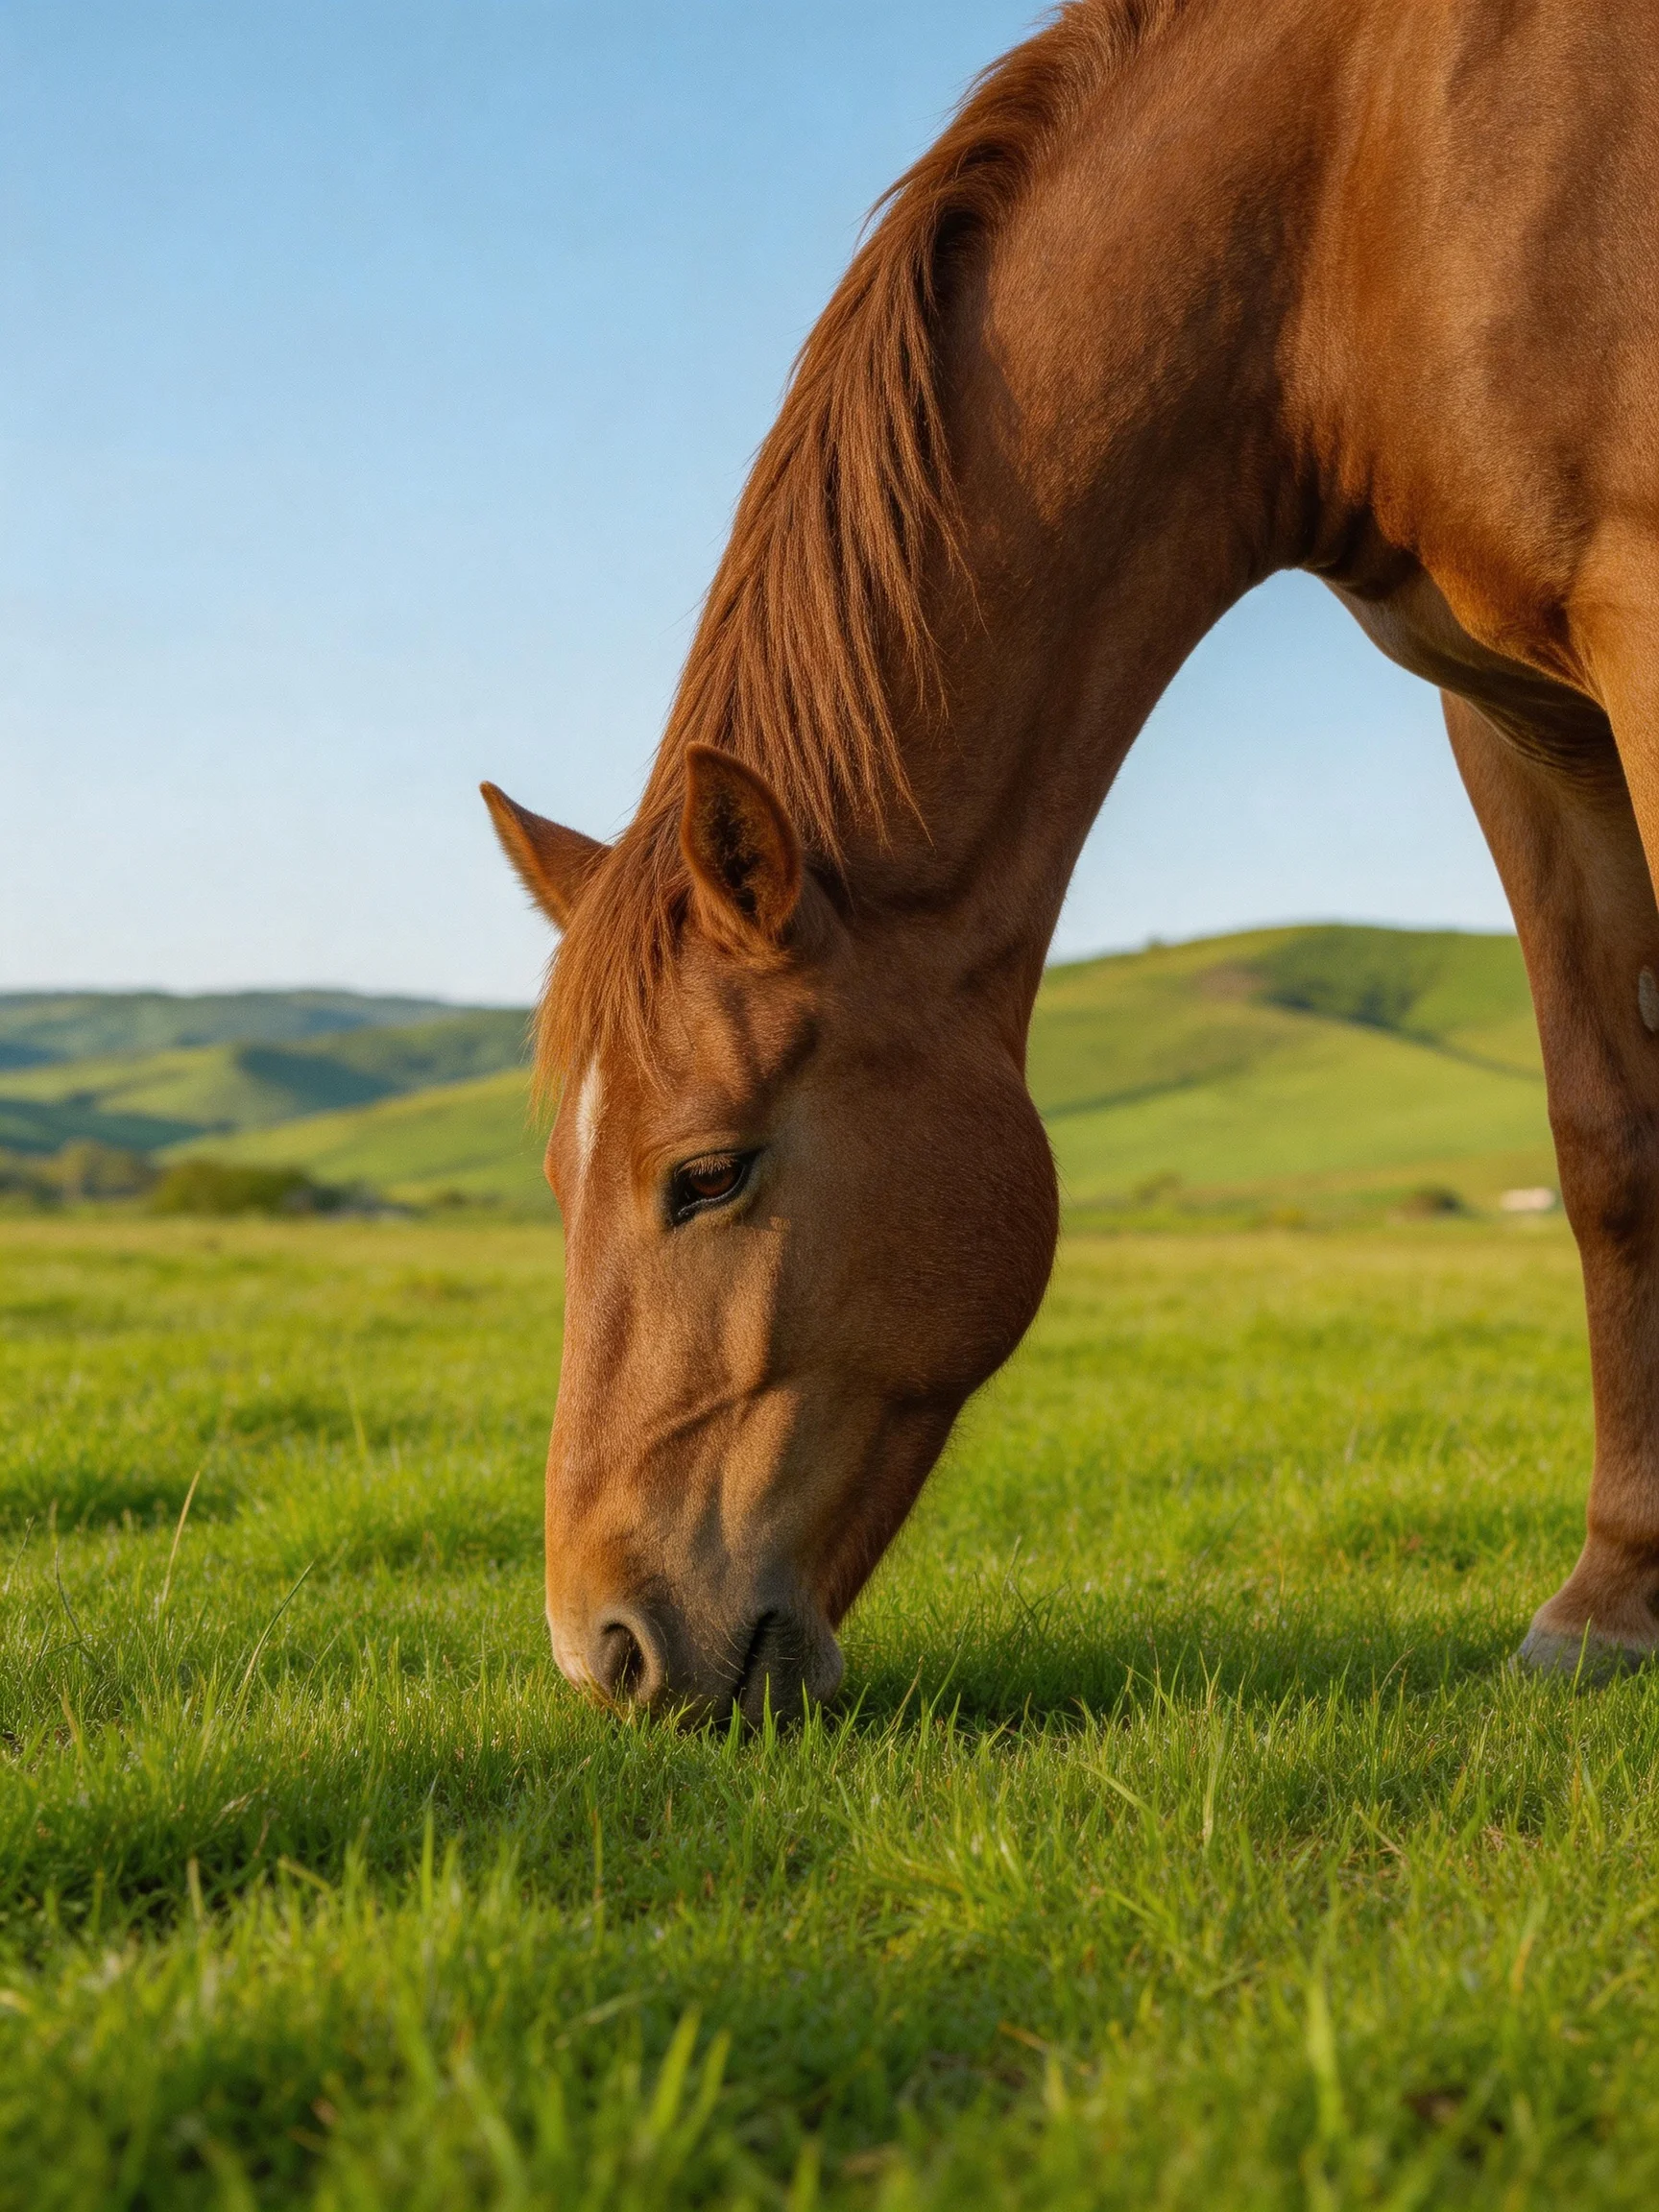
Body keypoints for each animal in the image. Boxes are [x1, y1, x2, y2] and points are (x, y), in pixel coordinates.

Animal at [484, 0, 1659, 1718]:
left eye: (706, 1175)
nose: (604, 1649)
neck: (1363, 195)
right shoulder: (1522, 722)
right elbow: (1609, 1143)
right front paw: (1611, 1605)